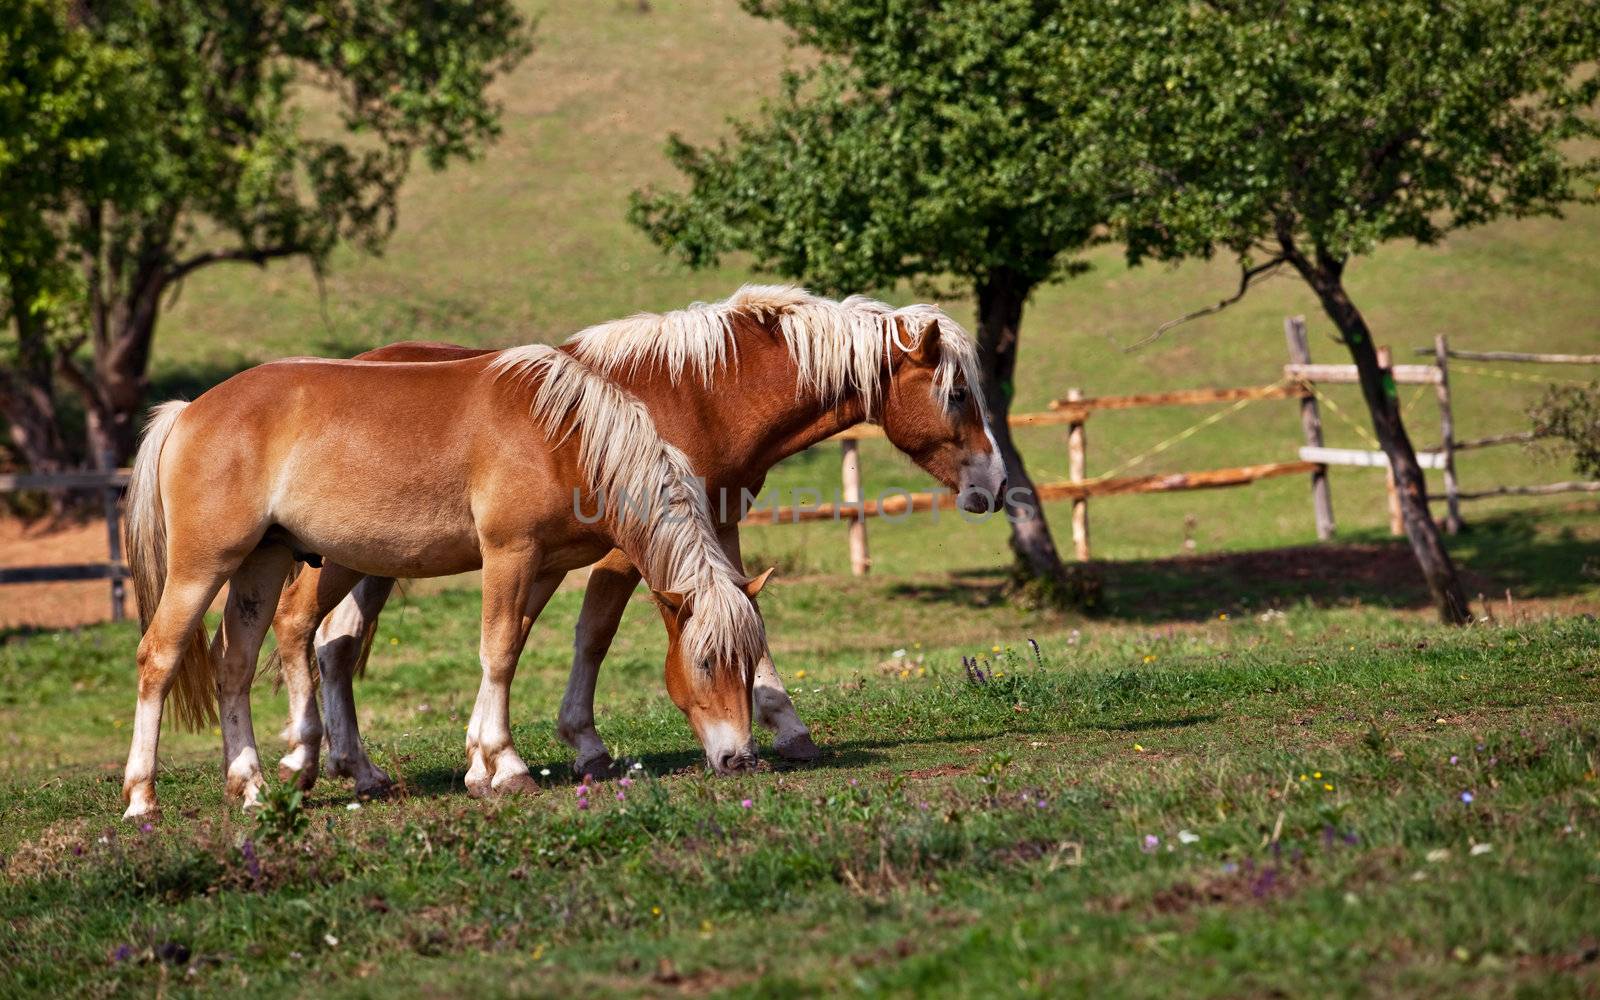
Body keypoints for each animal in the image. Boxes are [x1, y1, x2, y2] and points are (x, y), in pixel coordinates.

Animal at [120, 347, 774, 816]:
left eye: (750, 662)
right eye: (707, 662)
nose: (739, 759)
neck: (561, 434)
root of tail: (189, 410)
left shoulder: (543, 566)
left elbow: (508, 650)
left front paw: (480, 767)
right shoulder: (510, 554)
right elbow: (500, 650)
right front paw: (506, 768)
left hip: (264, 562)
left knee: (233, 662)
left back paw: (252, 786)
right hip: (204, 566)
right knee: (160, 656)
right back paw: (142, 798)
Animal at [268, 286, 1004, 796]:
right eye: (958, 394)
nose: (995, 486)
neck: (700, 395)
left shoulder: (717, 526)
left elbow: (747, 621)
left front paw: (786, 726)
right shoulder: (629, 548)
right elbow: (592, 636)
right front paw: (579, 745)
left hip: (373, 561)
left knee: (335, 645)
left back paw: (356, 768)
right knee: (320, 635)